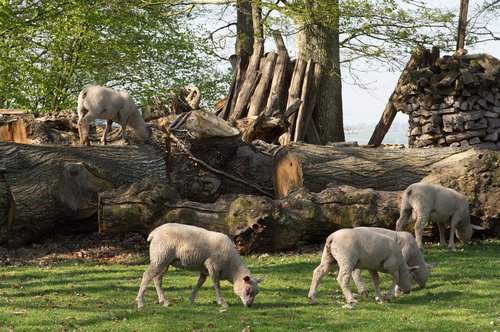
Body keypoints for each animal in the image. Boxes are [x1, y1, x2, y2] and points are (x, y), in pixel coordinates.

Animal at [133, 223, 266, 308]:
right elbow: (217, 285)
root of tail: (154, 233)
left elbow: (199, 284)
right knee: (147, 275)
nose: (249, 305)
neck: (231, 267)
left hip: (164, 261)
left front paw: (191, 300)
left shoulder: (204, 270)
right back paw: (140, 302)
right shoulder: (212, 265)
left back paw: (164, 301)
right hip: (160, 256)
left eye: (256, 293)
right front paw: (222, 303)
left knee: (157, 279)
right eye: (247, 291)